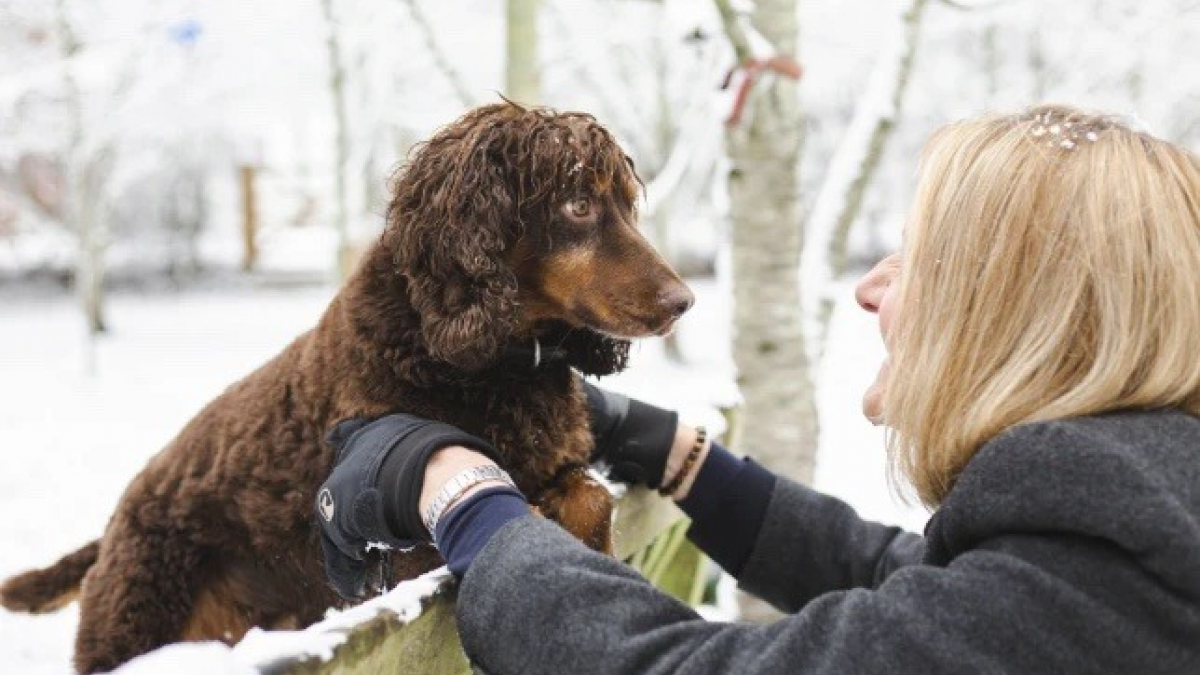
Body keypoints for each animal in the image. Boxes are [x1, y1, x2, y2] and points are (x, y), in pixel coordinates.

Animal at [0, 102, 696, 667]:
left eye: (624, 203)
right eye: (578, 205)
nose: (683, 301)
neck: (484, 357)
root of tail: (115, 527)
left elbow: (592, 497)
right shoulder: (406, 554)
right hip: (135, 620)